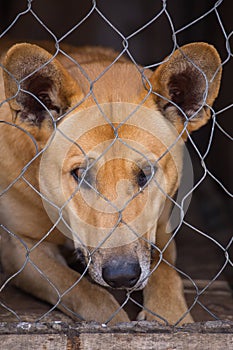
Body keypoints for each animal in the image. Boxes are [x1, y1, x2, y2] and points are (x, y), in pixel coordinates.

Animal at [0, 41, 222, 326]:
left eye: (146, 173)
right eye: (81, 173)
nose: (122, 276)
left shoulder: (160, 228)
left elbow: (166, 273)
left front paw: (169, 316)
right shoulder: (21, 248)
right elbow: (85, 292)